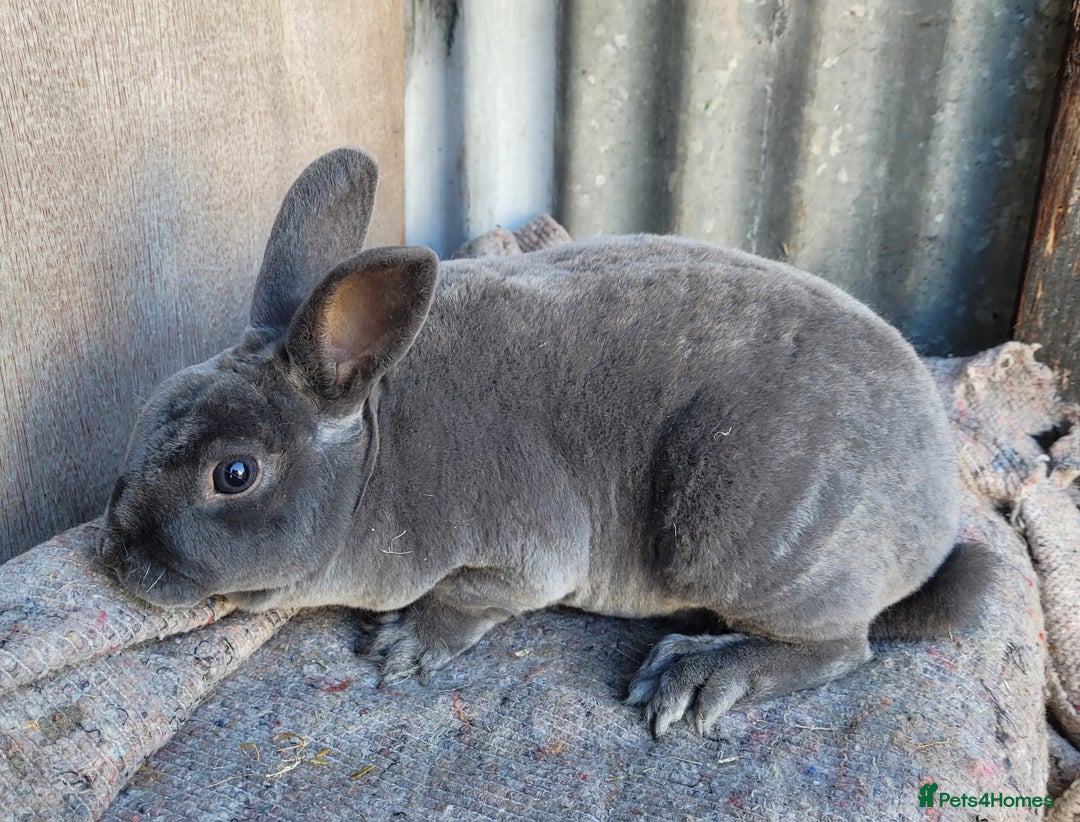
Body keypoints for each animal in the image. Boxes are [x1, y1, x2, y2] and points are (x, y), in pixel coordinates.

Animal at [99, 147, 995, 738]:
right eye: (144, 414)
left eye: (235, 473)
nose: (114, 554)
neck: (375, 453)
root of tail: (936, 517)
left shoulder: (529, 554)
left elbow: (475, 598)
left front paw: (406, 646)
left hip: (739, 533)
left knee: (842, 646)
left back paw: (695, 676)